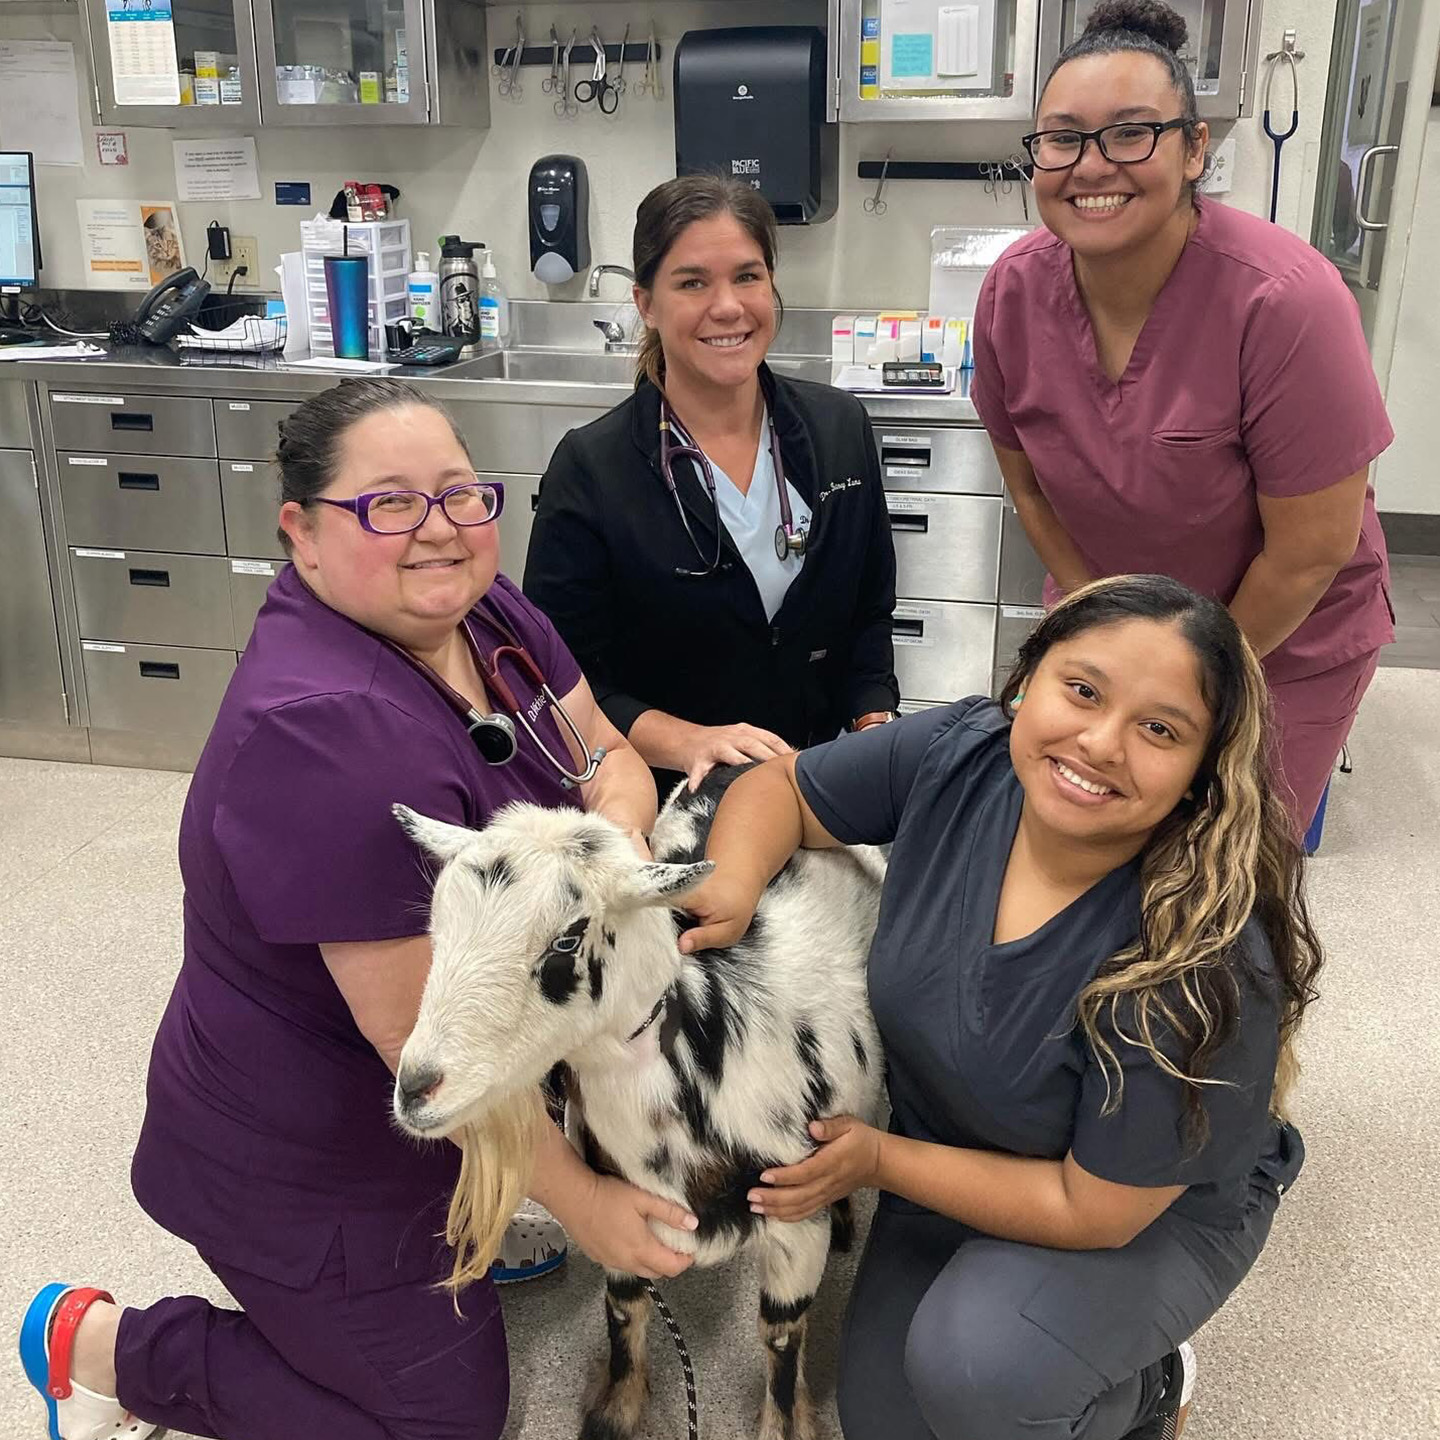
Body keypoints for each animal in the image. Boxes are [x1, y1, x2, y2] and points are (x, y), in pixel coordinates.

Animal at [394, 766, 887, 1440]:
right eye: (436, 927)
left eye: (568, 938)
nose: (416, 1088)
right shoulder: (619, 1214)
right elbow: (624, 1311)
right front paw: (616, 1414)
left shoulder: (794, 1225)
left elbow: (781, 1339)